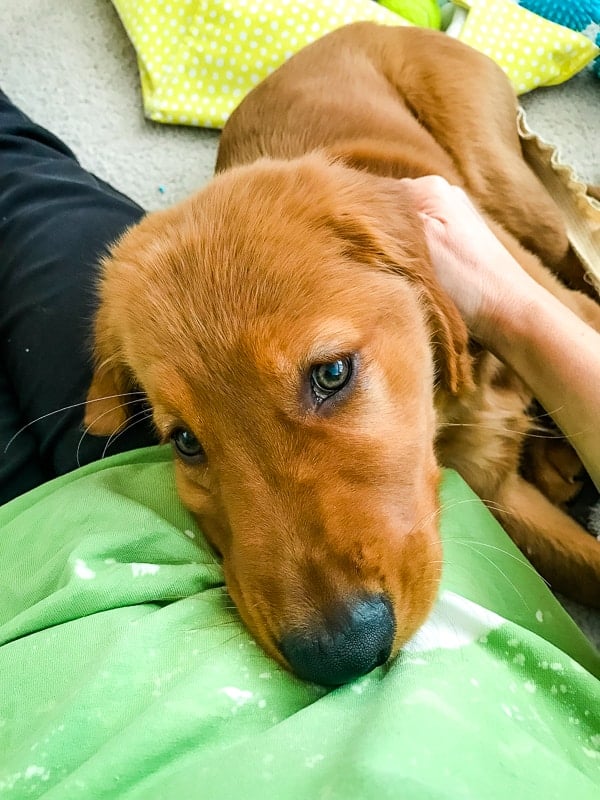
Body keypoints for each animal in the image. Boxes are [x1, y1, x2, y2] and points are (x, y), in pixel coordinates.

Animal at [85, 26, 600, 688]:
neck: (450, 402)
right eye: (185, 442)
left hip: (515, 193)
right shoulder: (496, 495)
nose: (340, 653)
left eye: (331, 373)